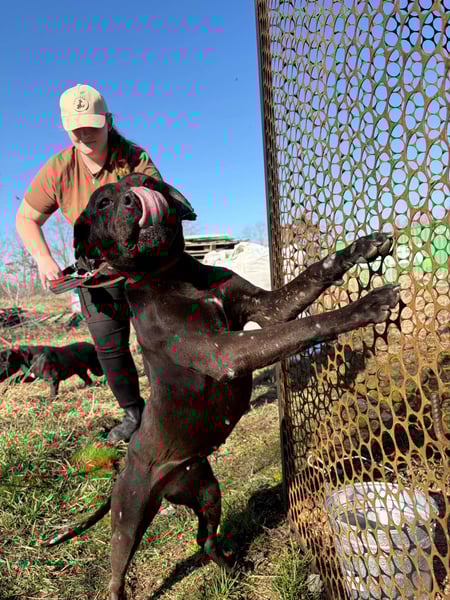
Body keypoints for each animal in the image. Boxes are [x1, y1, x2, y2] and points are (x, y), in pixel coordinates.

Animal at [44, 174, 400, 600]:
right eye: (102, 203)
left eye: (145, 181)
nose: (133, 198)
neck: (172, 274)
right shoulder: (225, 352)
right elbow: (304, 327)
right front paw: (365, 306)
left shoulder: (269, 307)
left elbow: (314, 275)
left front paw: (361, 248)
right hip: (128, 520)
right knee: (117, 571)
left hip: (207, 492)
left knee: (205, 541)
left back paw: (233, 568)